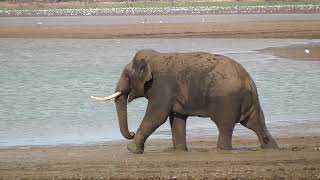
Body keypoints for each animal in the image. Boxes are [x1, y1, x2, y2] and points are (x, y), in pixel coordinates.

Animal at [92, 48, 278, 153]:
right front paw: (180, 150)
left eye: (125, 74)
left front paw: (131, 150)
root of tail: (249, 81)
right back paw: (272, 148)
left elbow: (157, 116)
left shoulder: (162, 86)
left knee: (225, 125)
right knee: (256, 123)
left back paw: (221, 150)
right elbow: (177, 118)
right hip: (249, 102)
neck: (155, 58)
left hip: (227, 101)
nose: (130, 133)